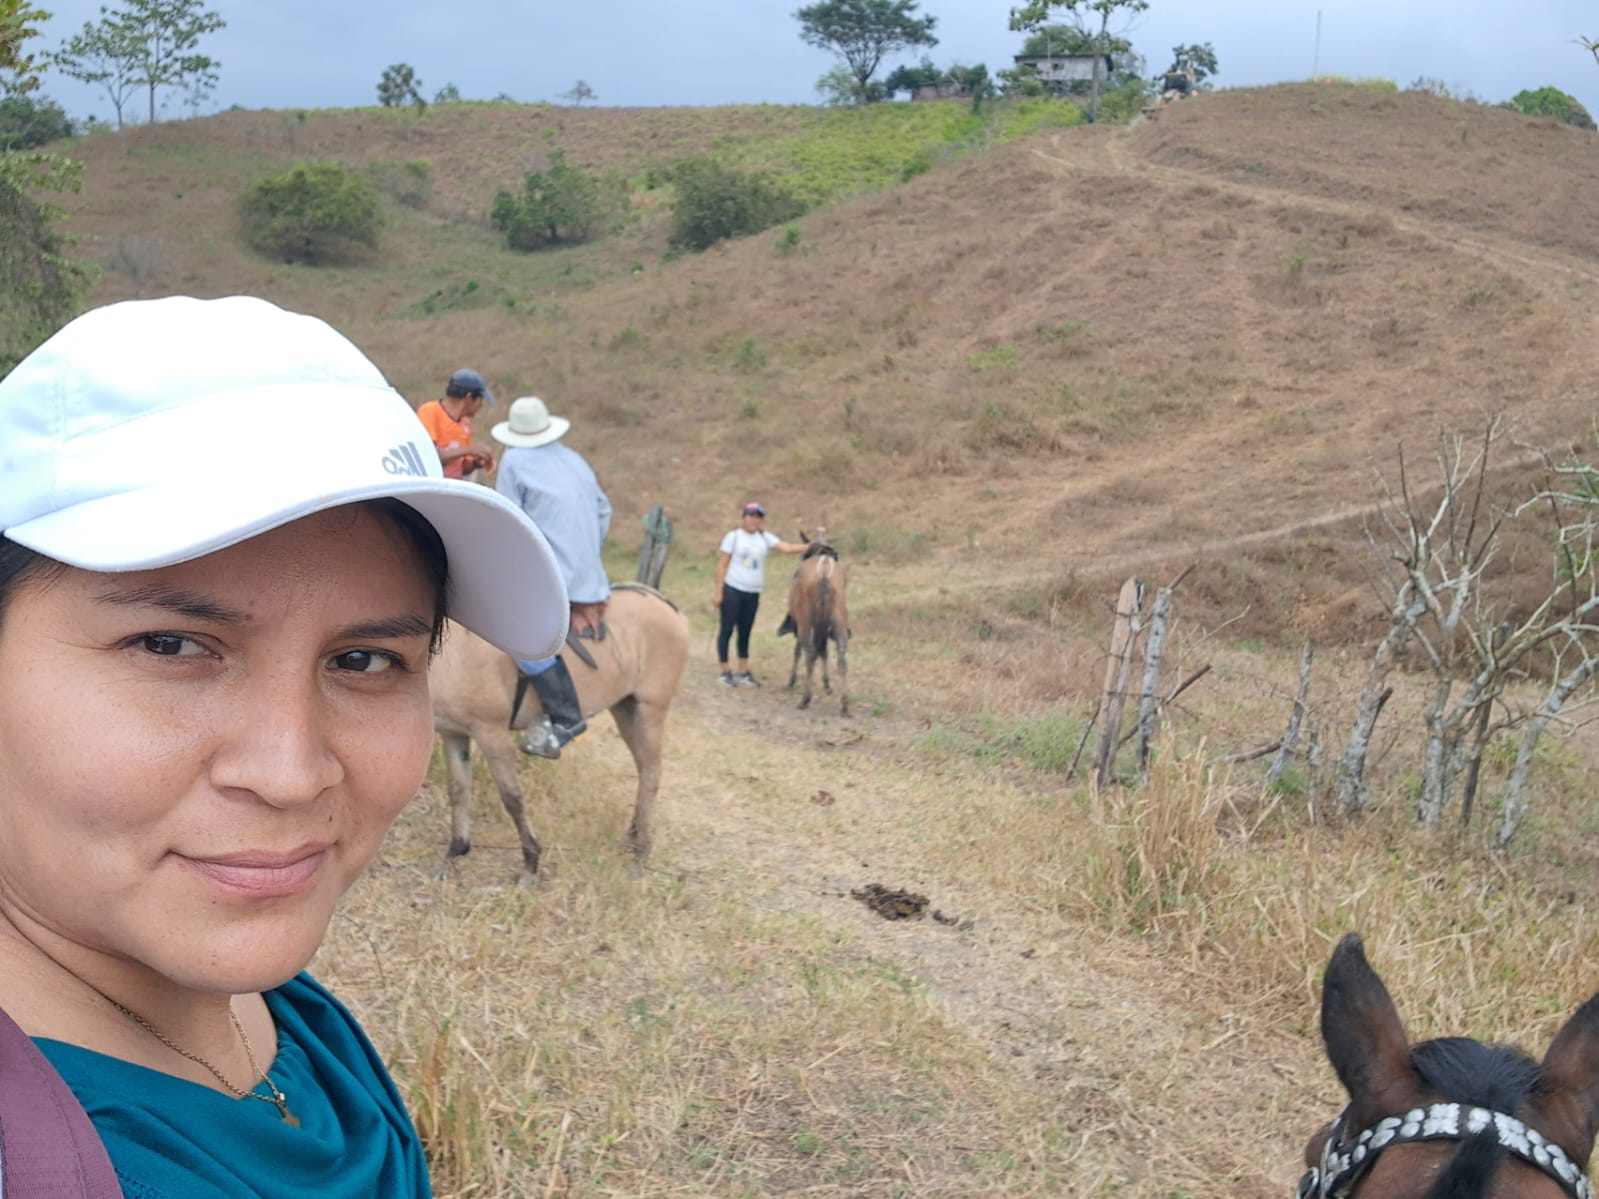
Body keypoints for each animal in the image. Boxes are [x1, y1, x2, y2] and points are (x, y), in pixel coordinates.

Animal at [428, 582, 690, 881]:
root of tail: (664, 604)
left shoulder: (491, 733)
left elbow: (512, 797)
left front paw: (531, 863)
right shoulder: (454, 734)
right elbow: (458, 792)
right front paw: (454, 853)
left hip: (651, 709)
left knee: (653, 771)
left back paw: (641, 852)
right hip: (626, 708)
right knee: (644, 768)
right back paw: (632, 839)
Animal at [781, 536, 850, 714]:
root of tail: (824, 572)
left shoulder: (801, 624)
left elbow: (798, 651)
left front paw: (792, 680)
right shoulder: (823, 627)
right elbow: (824, 651)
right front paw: (827, 684)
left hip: (805, 623)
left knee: (810, 654)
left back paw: (805, 699)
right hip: (837, 621)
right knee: (840, 657)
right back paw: (844, 704)